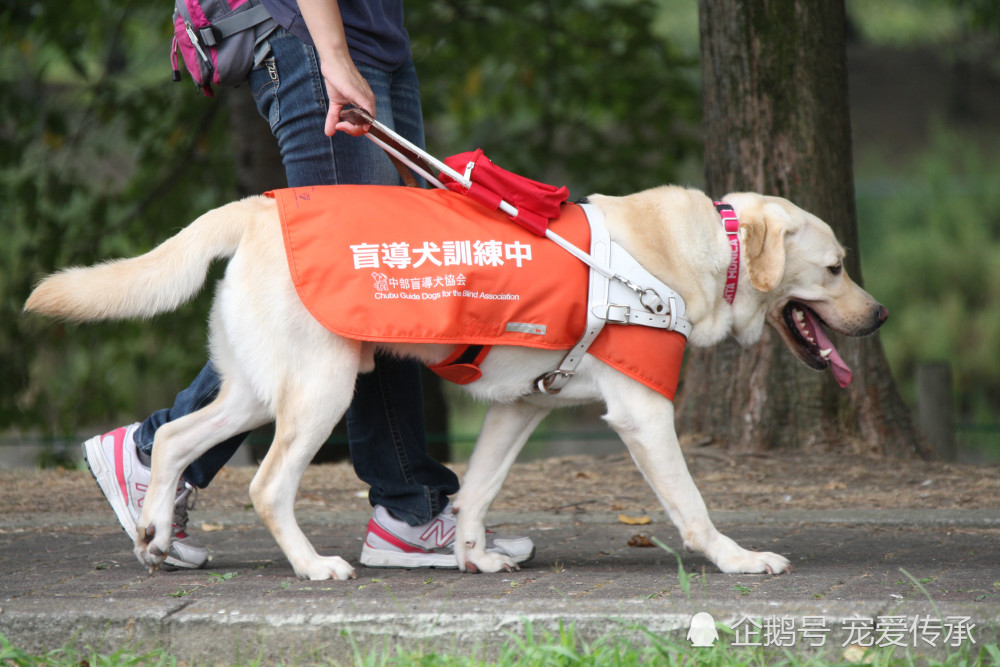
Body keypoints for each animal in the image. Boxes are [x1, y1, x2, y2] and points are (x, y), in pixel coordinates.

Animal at [23, 187, 888, 580]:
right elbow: (694, 507)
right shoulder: (645, 414)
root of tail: (260, 205)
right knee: (266, 485)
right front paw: (738, 558)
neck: (714, 252)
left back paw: (155, 536)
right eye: (836, 268)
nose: (878, 314)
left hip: (255, 390)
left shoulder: (518, 408)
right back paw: (312, 565)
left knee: (172, 437)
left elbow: (476, 488)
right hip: (323, 388)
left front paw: (473, 554)